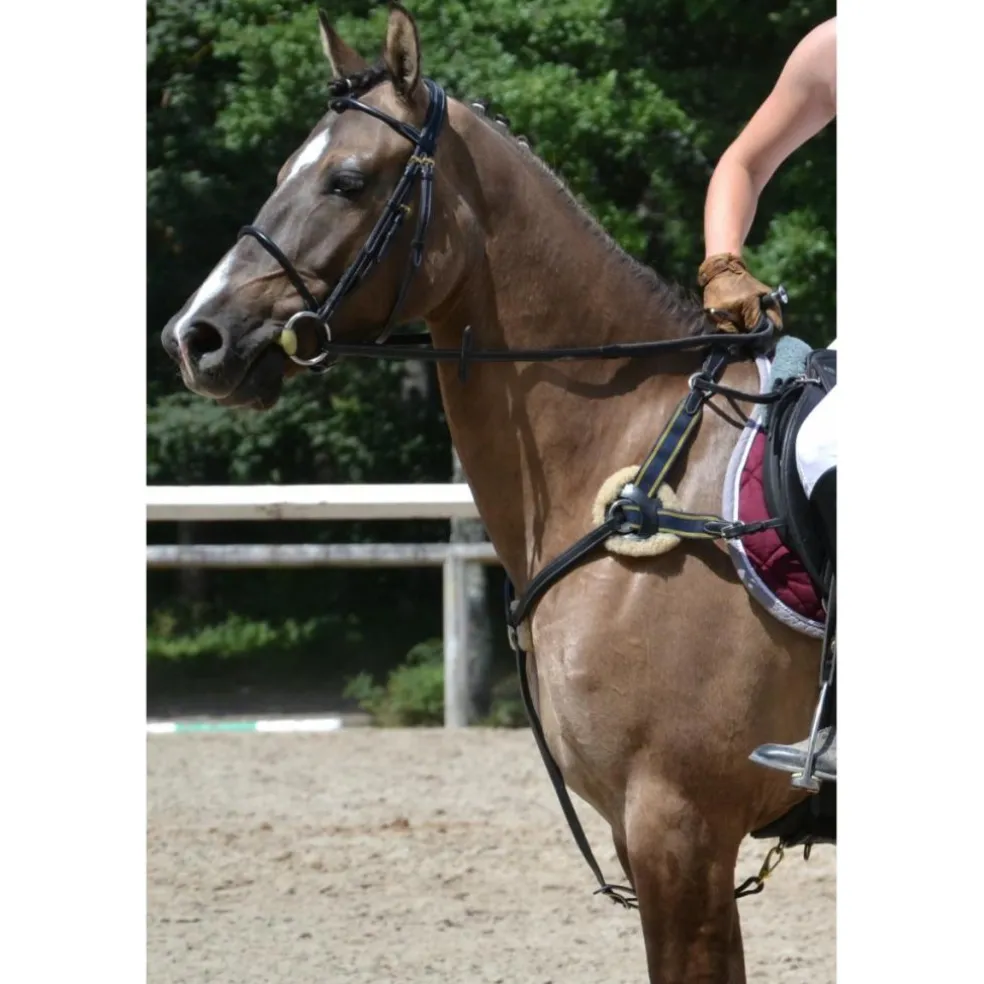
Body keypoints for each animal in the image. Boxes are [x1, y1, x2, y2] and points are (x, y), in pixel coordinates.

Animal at [159, 6, 835, 981]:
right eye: (285, 170)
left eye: (348, 181)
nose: (196, 337)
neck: (634, 456)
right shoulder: (653, 836)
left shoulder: (680, 829)